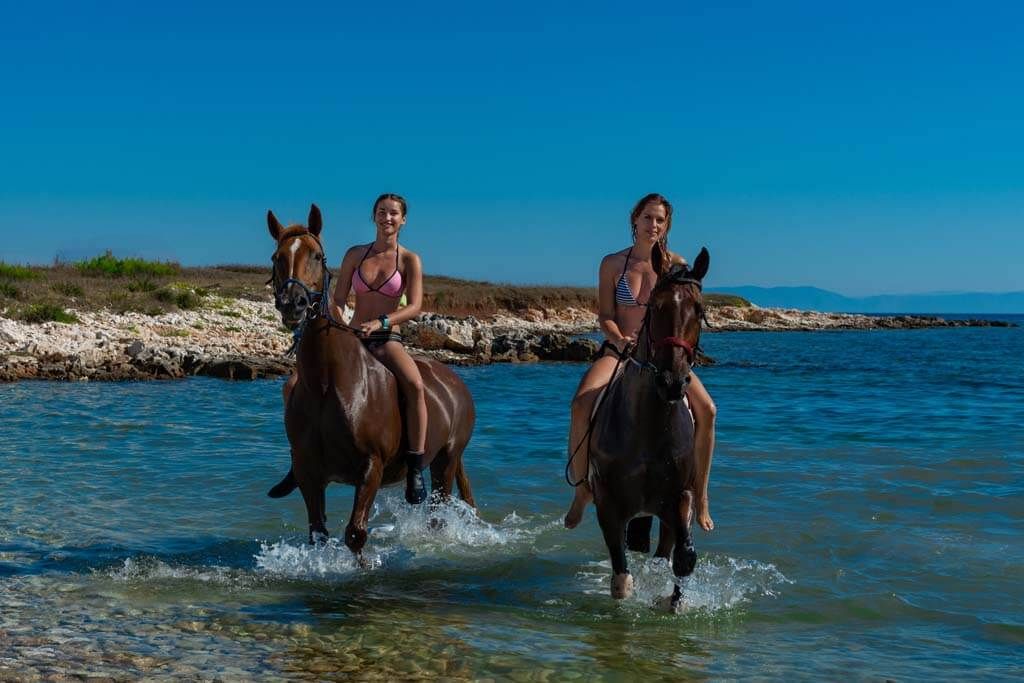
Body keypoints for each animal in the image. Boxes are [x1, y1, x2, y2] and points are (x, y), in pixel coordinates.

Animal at [267, 204, 476, 554]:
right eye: (277, 257)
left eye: (317, 256)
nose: (292, 304)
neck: (327, 383)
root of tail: (454, 382)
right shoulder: (309, 472)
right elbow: (318, 534)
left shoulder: (371, 466)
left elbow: (355, 533)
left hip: (445, 462)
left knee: (437, 514)